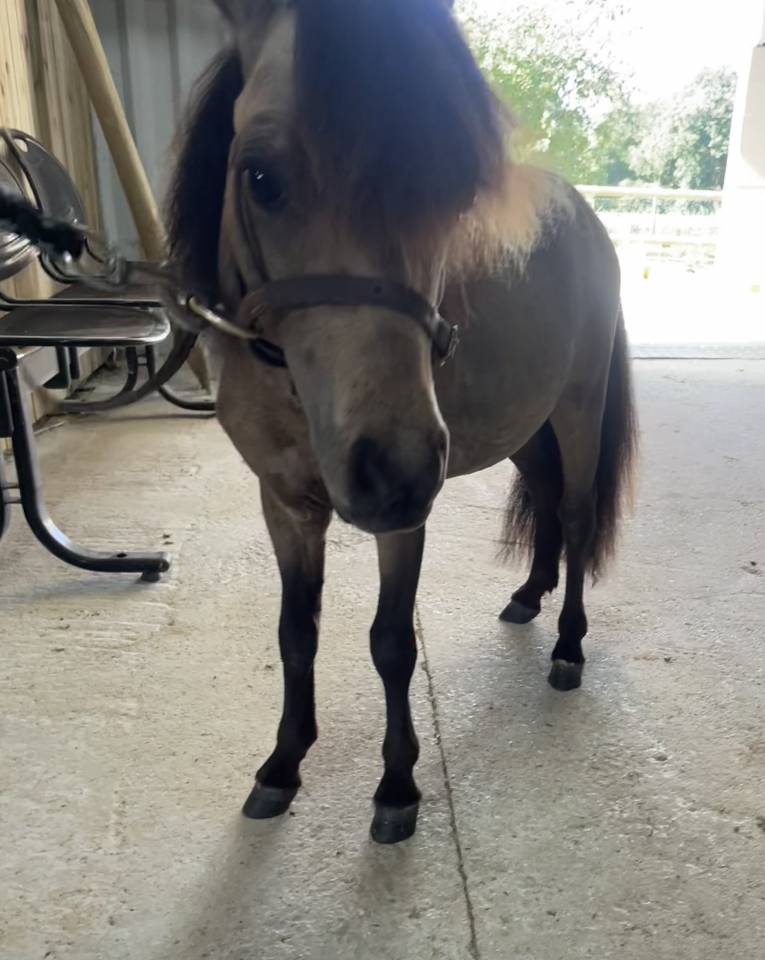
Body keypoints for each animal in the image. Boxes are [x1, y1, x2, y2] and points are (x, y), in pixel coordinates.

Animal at [167, 0, 637, 844]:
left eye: (452, 194)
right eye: (261, 177)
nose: (394, 470)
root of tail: (581, 212)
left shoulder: (404, 520)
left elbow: (389, 643)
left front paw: (396, 785)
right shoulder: (284, 505)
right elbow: (296, 633)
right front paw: (282, 765)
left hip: (578, 410)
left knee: (580, 516)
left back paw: (567, 645)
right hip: (525, 432)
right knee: (550, 504)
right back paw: (529, 595)